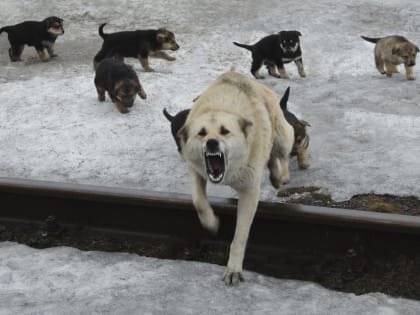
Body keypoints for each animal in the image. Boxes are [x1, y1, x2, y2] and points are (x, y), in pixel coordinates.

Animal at [179, 72, 294, 286]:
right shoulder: (195, 170)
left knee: (281, 153)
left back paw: (281, 176)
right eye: (201, 133)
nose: (211, 143)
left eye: (224, 131)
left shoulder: (250, 191)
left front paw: (233, 270)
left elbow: (240, 236)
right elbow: (199, 202)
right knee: (271, 156)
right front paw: (212, 223)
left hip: (283, 137)